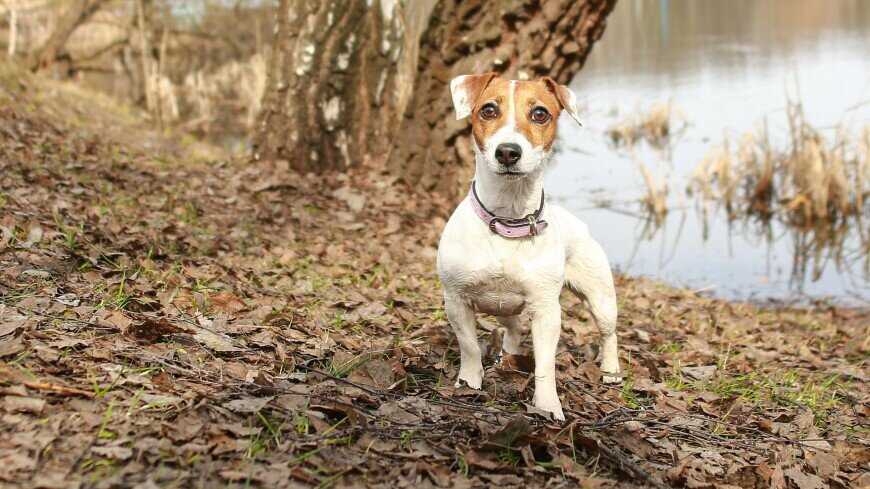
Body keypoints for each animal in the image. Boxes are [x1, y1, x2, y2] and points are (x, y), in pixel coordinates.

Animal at [440, 72, 624, 420]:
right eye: (488, 110)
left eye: (540, 113)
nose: (508, 151)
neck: (506, 220)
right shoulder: (456, 300)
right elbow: (469, 347)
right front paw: (468, 383)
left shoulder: (547, 311)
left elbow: (545, 365)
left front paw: (549, 406)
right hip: (506, 307)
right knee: (513, 331)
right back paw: (506, 358)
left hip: (601, 299)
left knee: (609, 334)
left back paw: (611, 371)